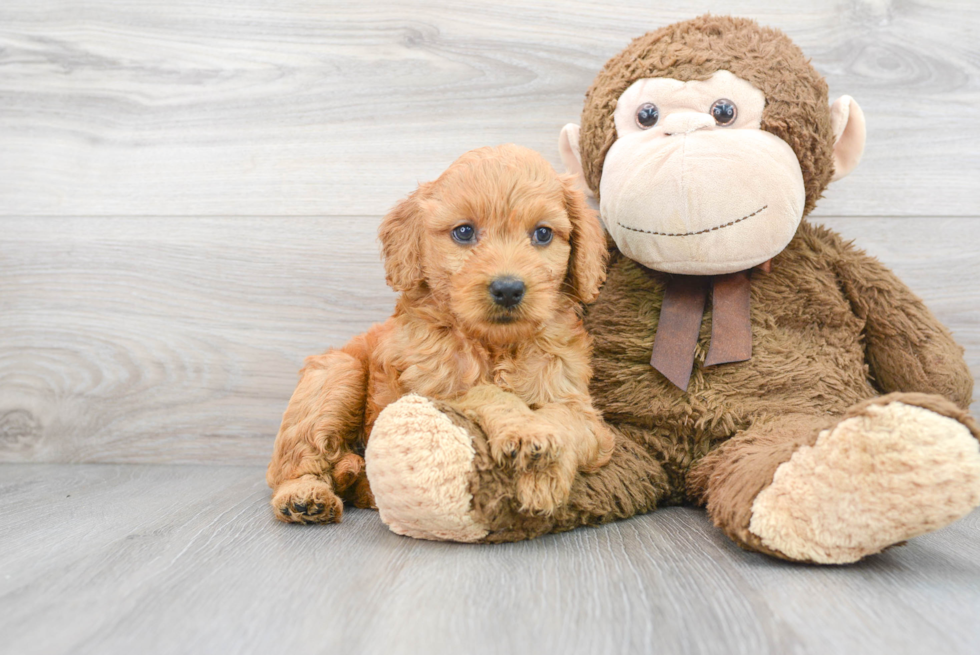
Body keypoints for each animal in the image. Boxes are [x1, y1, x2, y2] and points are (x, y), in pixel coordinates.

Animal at [264, 146, 608, 524]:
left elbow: (565, 419)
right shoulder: (432, 394)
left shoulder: (582, 409)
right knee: (292, 463)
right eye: (464, 232)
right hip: (337, 373)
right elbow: (487, 393)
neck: (495, 346)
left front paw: (544, 476)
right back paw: (305, 496)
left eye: (543, 234)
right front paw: (524, 430)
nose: (507, 289)